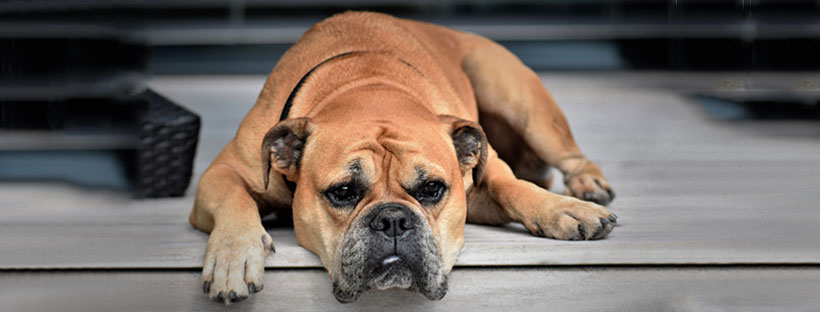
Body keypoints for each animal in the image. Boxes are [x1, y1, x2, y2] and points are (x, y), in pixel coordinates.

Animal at [191, 11, 616, 304]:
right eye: (343, 192)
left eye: (432, 189)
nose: (393, 219)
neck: (368, 86)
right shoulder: (221, 173)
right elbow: (235, 200)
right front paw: (233, 258)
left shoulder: (482, 178)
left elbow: (512, 186)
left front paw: (563, 209)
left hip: (518, 97)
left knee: (567, 155)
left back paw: (587, 186)